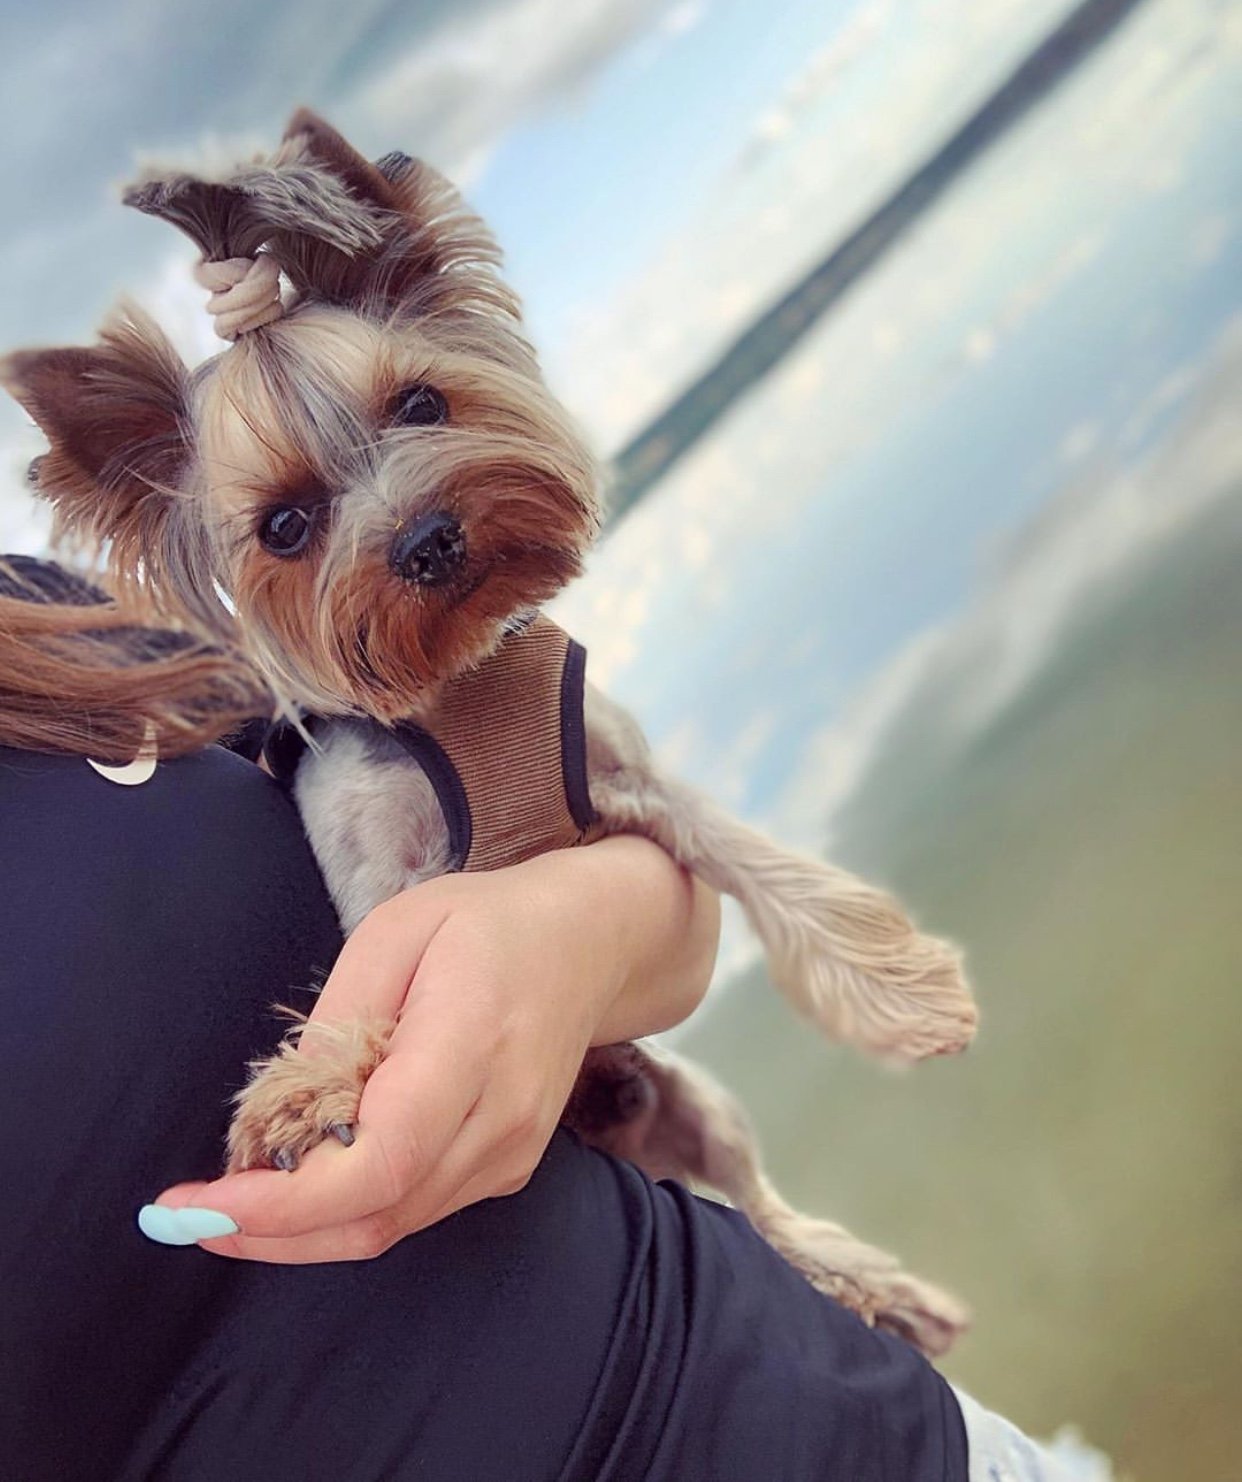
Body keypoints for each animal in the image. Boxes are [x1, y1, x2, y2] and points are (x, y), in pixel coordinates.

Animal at [2, 107, 984, 1357]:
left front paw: (906, 996)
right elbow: (366, 977)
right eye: (286, 526)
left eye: (421, 404)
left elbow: (770, 871)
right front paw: (313, 1086)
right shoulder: (385, 878)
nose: (428, 539)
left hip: (698, 1102)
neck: (461, 683)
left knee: (754, 1194)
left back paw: (863, 1279)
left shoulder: (635, 784)